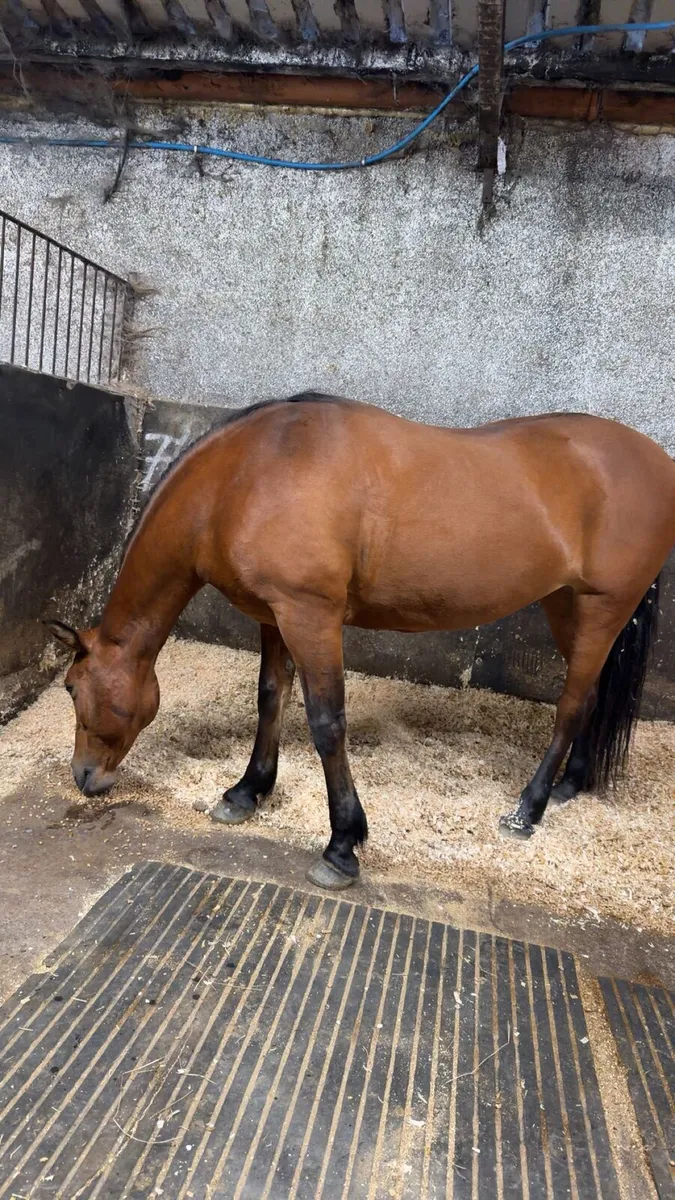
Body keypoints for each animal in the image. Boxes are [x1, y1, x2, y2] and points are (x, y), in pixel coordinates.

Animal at [47, 394, 675, 891]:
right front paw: (247, 792)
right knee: (591, 698)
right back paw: (572, 784)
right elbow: (270, 698)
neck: (249, 475)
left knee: (569, 706)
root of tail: (655, 461)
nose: (84, 776)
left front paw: (342, 845)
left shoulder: (311, 615)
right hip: (567, 607)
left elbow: (327, 722)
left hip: (601, 610)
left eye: (72, 688)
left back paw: (529, 808)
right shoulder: (275, 616)